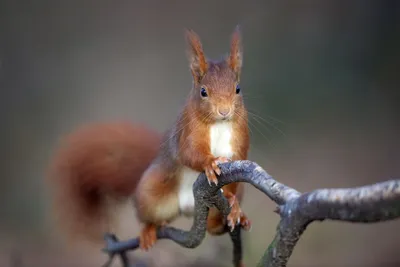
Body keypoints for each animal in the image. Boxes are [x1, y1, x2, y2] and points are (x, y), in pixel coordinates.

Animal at [47, 26, 252, 253]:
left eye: (238, 89)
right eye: (203, 92)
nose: (224, 111)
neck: (219, 124)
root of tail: (189, 207)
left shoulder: (240, 138)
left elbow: (236, 169)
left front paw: (234, 206)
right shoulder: (187, 132)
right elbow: (189, 153)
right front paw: (210, 163)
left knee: (213, 226)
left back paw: (233, 218)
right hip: (151, 193)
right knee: (149, 215)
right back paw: (148, 230)